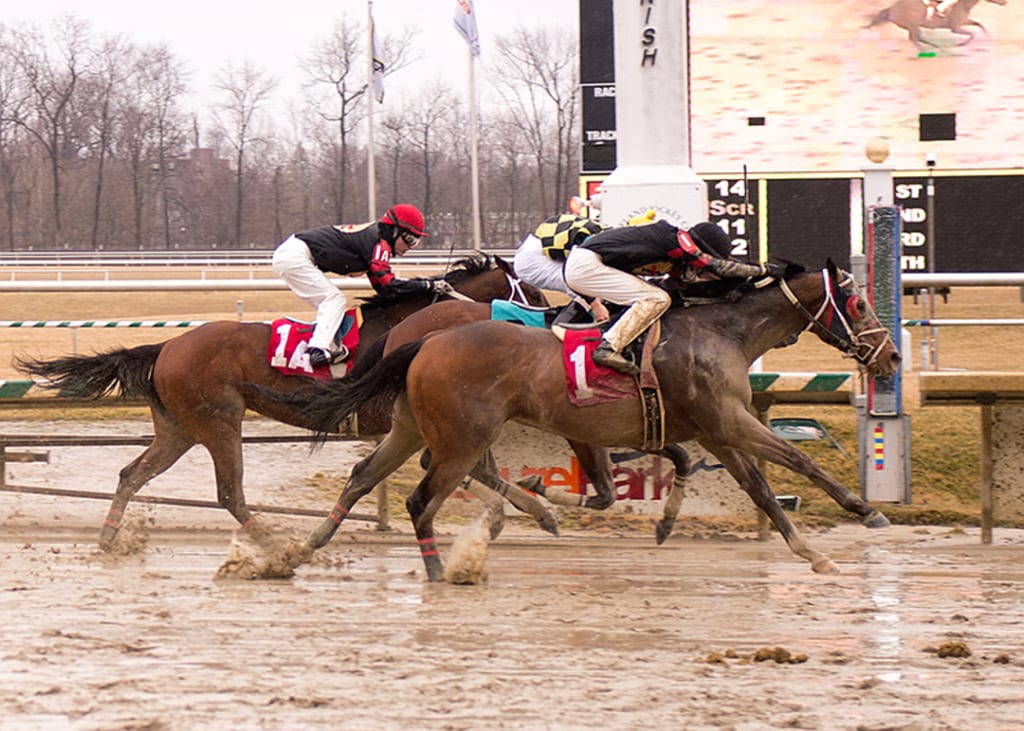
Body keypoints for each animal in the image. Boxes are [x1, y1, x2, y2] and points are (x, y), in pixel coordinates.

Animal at [14, 254, 552, 548]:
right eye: (531, 290)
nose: (551, 322)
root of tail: (168, 345)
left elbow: (475, 467)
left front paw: (522, 511)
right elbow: (467, 466)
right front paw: (533, 512)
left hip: (179, 428)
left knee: (132, 474)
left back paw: (108, 538)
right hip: (219, 421)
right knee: (228, 493)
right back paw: (272, 540)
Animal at [260, 259, 901, 577]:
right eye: (857, 301)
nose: (891, 356)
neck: (721, 331)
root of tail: (423, 340)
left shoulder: (712, 430)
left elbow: (757, 489)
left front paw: (811, 552)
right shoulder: (727, 421)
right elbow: (794, 460)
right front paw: (866, 512)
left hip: (414, 425)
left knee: (364, 473)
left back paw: (300, 551)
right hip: (462, 436)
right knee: (423, 496)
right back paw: (445, 569)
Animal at [872, 0, 1007, 47]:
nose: (1005, 2)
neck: (962, 5)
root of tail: (891, 9)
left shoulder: (963, 21)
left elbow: (978, 24)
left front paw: (988, 36)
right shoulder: (955, 27)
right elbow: (972, 34)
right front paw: (961, 44)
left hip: (913, 26)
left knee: (917, 38)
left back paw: (935, 46)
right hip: (913, 24)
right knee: (914, 39)